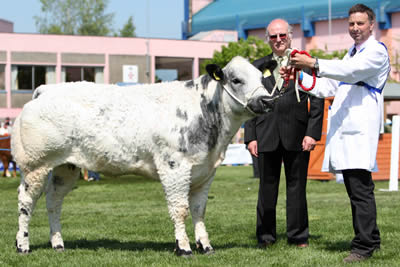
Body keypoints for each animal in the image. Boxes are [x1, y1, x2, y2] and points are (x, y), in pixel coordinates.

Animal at [12, 56, 276, 255]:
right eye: (236, 79)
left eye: (262, 78)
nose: (266, 100)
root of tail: (46, 89)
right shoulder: (174, 167)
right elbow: (180, 208)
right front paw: (184, 248)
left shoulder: (205, 170)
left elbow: (199, 209)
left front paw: (206, 246)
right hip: (35, 164)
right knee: (26, 202)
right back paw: (22, 245)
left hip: (65, 166)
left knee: (53, 200)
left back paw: (57, 243)